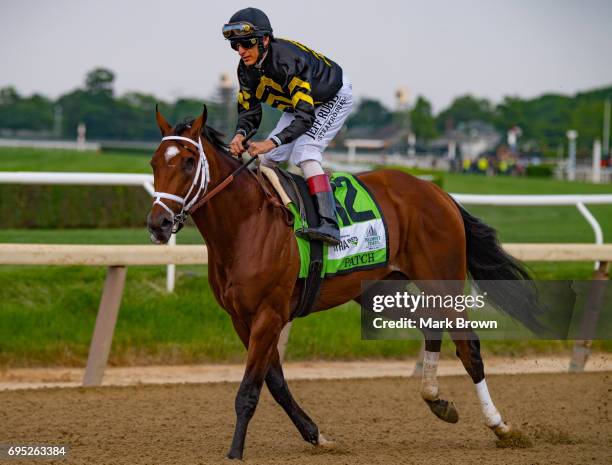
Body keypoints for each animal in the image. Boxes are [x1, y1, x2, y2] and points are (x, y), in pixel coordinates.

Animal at [147, 107, 536, 458]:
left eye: (187, 162)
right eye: (153, 164)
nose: (158, 224)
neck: (247, 223)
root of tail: (436, 192)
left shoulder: (269, 314)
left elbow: (249, 389)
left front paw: (235, 452)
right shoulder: (241, 319)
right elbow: (275, 382)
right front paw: (316, 436)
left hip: (442, 281)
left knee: (469, 347)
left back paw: (501, 426)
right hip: (382, 291)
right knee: (430, 326)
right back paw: (437, 400)